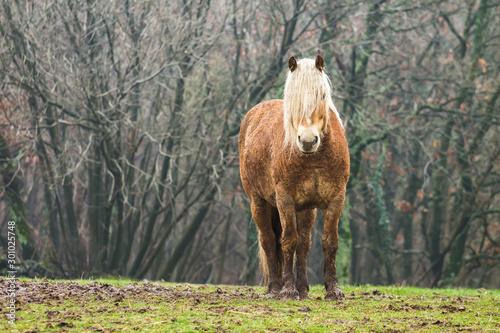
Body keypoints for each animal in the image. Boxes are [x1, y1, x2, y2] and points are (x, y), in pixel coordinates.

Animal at [237, 55, 348, 300]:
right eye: (292, 98)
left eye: (322, 95)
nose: (307, 141)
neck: (315, 159)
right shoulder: (285, 200)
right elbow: (288, 240)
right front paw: (288, 289)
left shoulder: (336, 200)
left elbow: (329, 242)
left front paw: (333, 290)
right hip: (259, 202)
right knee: (269, 240)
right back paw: (275, 288)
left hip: (307, 209)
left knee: (304, 243)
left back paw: (304, 289)